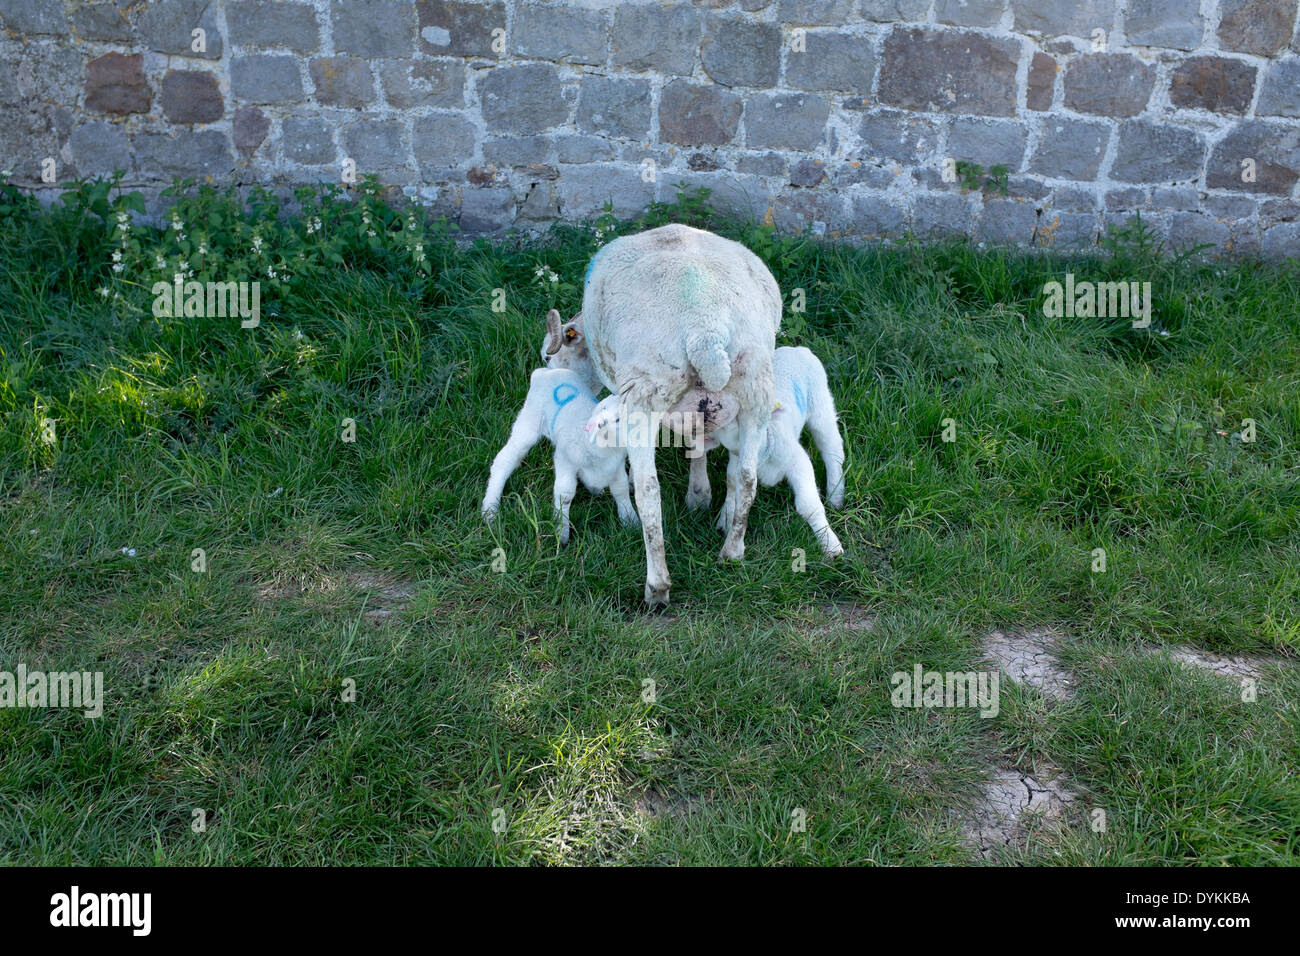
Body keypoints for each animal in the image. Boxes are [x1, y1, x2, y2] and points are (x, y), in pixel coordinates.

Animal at [480, 366, 637, 546]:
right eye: (618, 419)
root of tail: (544, 373)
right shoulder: (565, 460)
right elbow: (565, 495)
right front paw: (561, 533)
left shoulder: (616, 467)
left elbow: (621, 489)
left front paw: (630, 520)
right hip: (529, 422)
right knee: (504, 461)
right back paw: (490, 509)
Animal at [587, 348, 847, 561]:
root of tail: (797, 348)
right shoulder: (737, 459)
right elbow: (733, 485)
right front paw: (727, 519)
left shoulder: (795, 460)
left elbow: (808, 505)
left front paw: (830, 546)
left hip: (820, 403)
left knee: (831, 446)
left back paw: (836, 495)